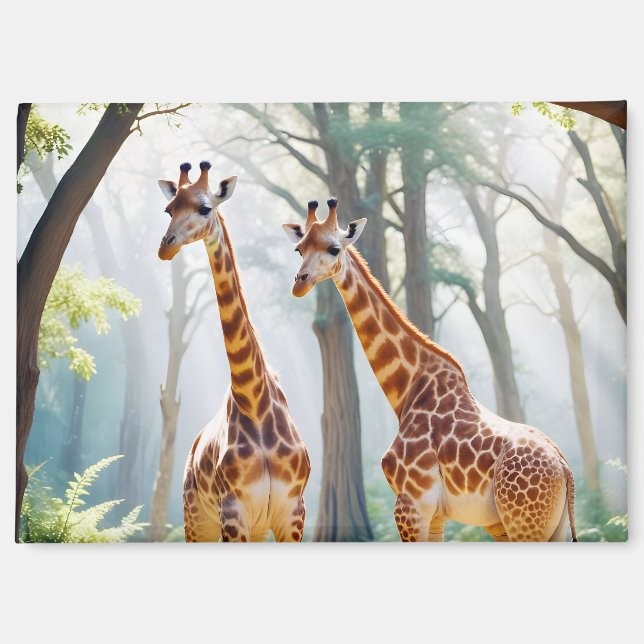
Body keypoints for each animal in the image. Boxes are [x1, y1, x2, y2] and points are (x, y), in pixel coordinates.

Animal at [157, 161, 310, 542]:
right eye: (169, 209)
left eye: (204, 208)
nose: (166, 248)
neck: (254, 401)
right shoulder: (233, 510)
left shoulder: (292, 512)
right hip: (196, 519)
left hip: (255, 528)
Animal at [282, 198, 577, 542]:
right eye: (299, 249)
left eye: (333, 249)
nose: (299, 283)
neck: (409, 388)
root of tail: (566, 471)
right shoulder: (434, 516)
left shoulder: (411, 505)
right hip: (548, 528)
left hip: (523, 525)